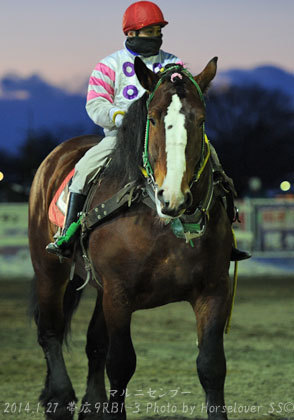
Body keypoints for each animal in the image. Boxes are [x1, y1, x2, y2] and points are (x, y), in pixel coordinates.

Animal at [28, 56, 233, 420]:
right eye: (153, 118)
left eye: (201, 120)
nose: (173, 196)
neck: (164, 223)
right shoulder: (119, 294)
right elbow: (121, 364)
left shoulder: (214, 290)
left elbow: (211, 366)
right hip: (49, 269)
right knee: (50, 330)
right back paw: (59, 399)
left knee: (94, 342)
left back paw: (91, 404)